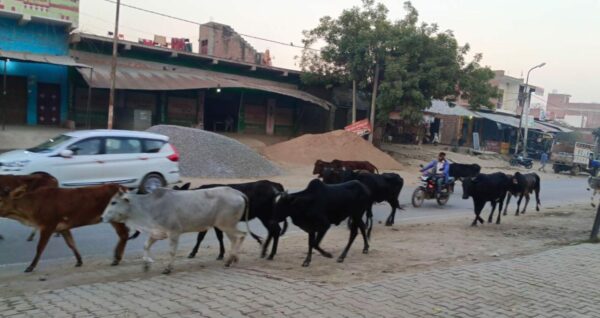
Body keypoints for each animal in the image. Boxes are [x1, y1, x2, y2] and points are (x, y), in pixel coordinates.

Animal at [0, 185, 130, 272]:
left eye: (0, 200)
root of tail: (124, 187)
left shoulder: (48, 224)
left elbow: (40, 247)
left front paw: (30, 267)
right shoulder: (62, 227)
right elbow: (71, 243)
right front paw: (79, 261)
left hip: (116, 217)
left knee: (124, 234)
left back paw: (116, 258)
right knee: (123, 234)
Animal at [102, 188, 247, 274]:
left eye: (114, 202)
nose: (102, 217)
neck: (148, 208)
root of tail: (236, 192)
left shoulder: (174, 233)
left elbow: (172, 251)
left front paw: (168, 268)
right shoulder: (156, 233)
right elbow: (146, 246)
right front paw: (146, 264)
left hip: (226, 225)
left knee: (239, 236)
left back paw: (230, 260)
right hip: (227, 226)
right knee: (240, 237)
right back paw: (234, 258)